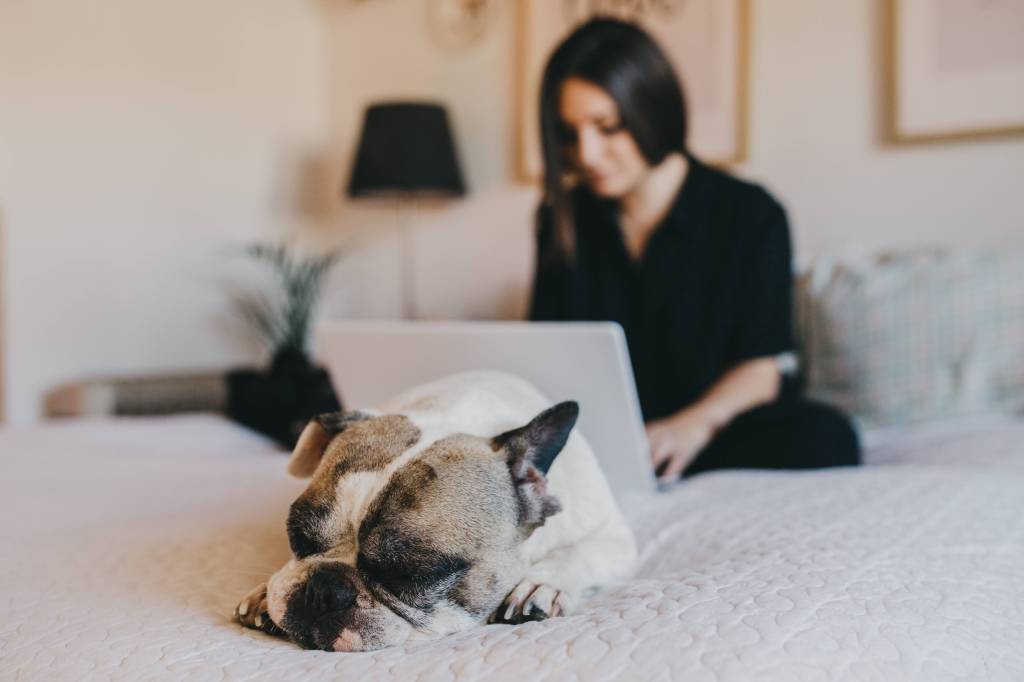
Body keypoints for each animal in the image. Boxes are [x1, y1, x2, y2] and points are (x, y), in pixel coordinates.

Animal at [234, 368, 630, 651]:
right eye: (297, 535)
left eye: (413, 574)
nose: (323, 589)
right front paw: (263, 595)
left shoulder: (615, 538)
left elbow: (582, 553)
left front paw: (542, 585)